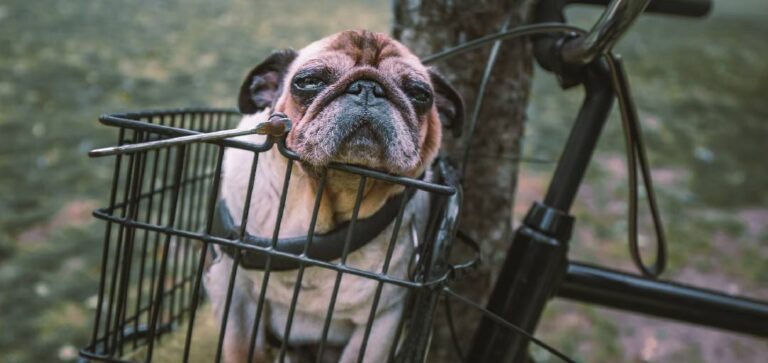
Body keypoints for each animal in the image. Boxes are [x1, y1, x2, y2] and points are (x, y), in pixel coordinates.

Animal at [204, 29, 462, 362]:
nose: (368, 88)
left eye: (420, 95)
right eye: (309, 81)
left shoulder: (381, 324)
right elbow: (241, 347)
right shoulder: (233, 294)